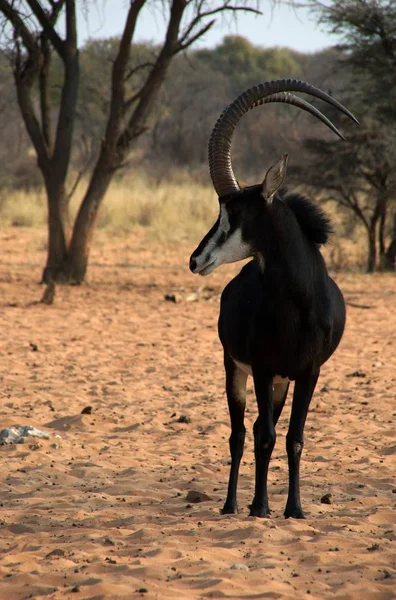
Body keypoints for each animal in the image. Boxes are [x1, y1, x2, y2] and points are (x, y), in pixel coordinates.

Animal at [190, 81, 358, 520]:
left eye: (235, 212)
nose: (196, 260)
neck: (299, 304)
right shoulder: (262, 369)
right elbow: (263, 436)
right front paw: (261, 508)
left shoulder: (309, 373)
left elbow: (293, 437)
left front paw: (294, 509)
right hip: (236, 369)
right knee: (239, 434)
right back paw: (234, 503)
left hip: (283, 381)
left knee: (261, 430)